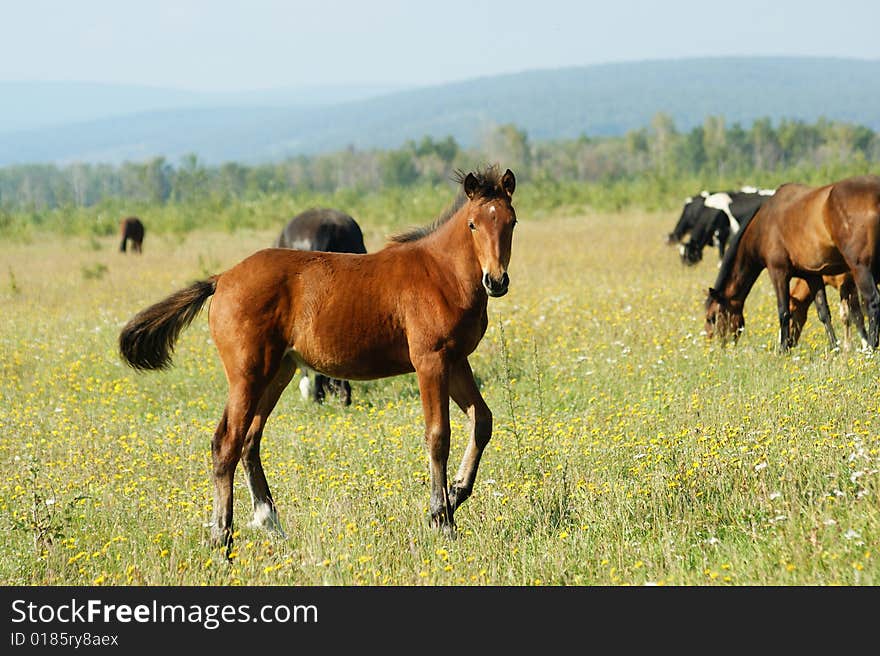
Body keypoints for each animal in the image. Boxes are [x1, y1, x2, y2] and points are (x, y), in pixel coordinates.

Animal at [117, 167, 516, 552]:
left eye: (511, 221)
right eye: (473, 224)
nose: (496, 281)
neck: (443, 273)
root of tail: (223, 278)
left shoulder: (456, 359)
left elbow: (482, 421)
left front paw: (456, 493)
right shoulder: (430, 361)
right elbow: (437, 436)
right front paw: (442, 519)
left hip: (277, 372)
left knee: (250, 440)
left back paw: (270, 523)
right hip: (247, 374)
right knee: (226, 443)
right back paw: (222, 538)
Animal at [704, 173, 880, 348]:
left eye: (712, 317)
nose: (716, 347)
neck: (764, 225)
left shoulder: (778, 273)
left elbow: (783, 312)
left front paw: (783, 349)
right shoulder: (812, 276)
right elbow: (823, 312)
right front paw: (834, 348)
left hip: (861, 269)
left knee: (873, 302)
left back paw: (871, 346)